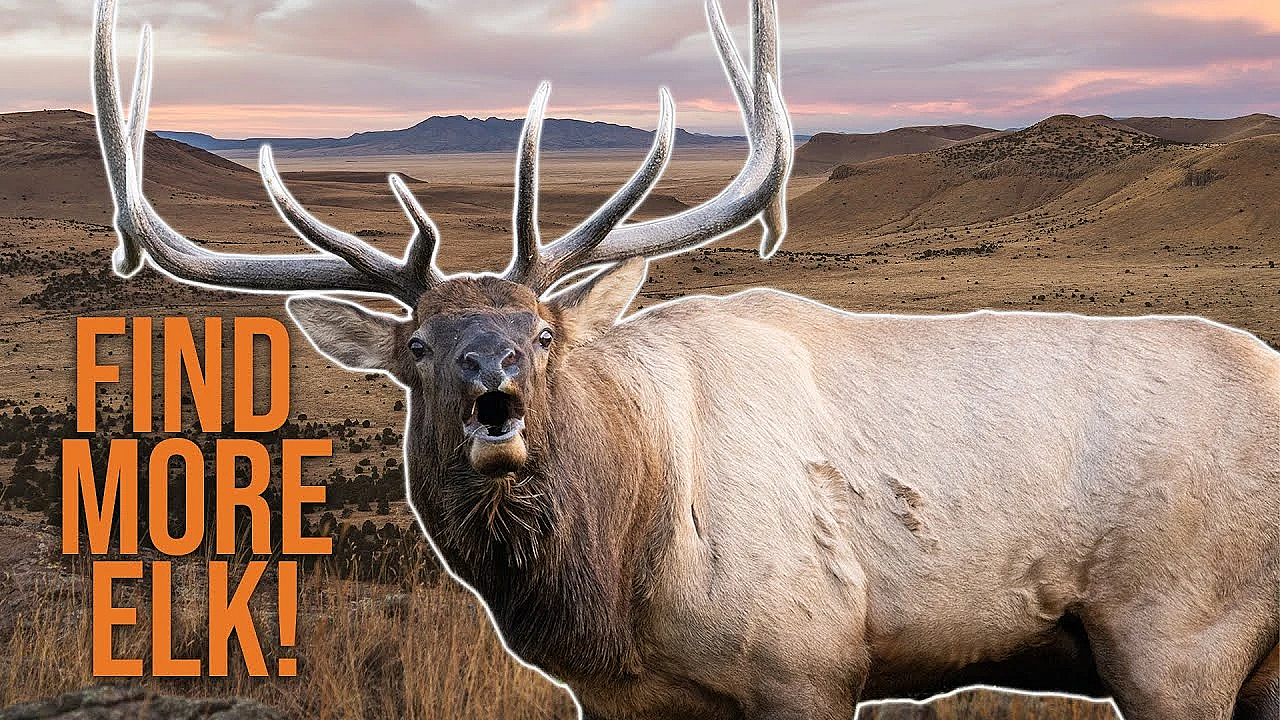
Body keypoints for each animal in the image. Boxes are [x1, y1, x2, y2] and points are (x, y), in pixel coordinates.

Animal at [91, 0, 1278, 717]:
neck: (618, 577)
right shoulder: (622, 696)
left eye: (544, 334)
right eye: (416, 347)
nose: (495, 402)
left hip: (1177, 631)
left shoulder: (810, 657)